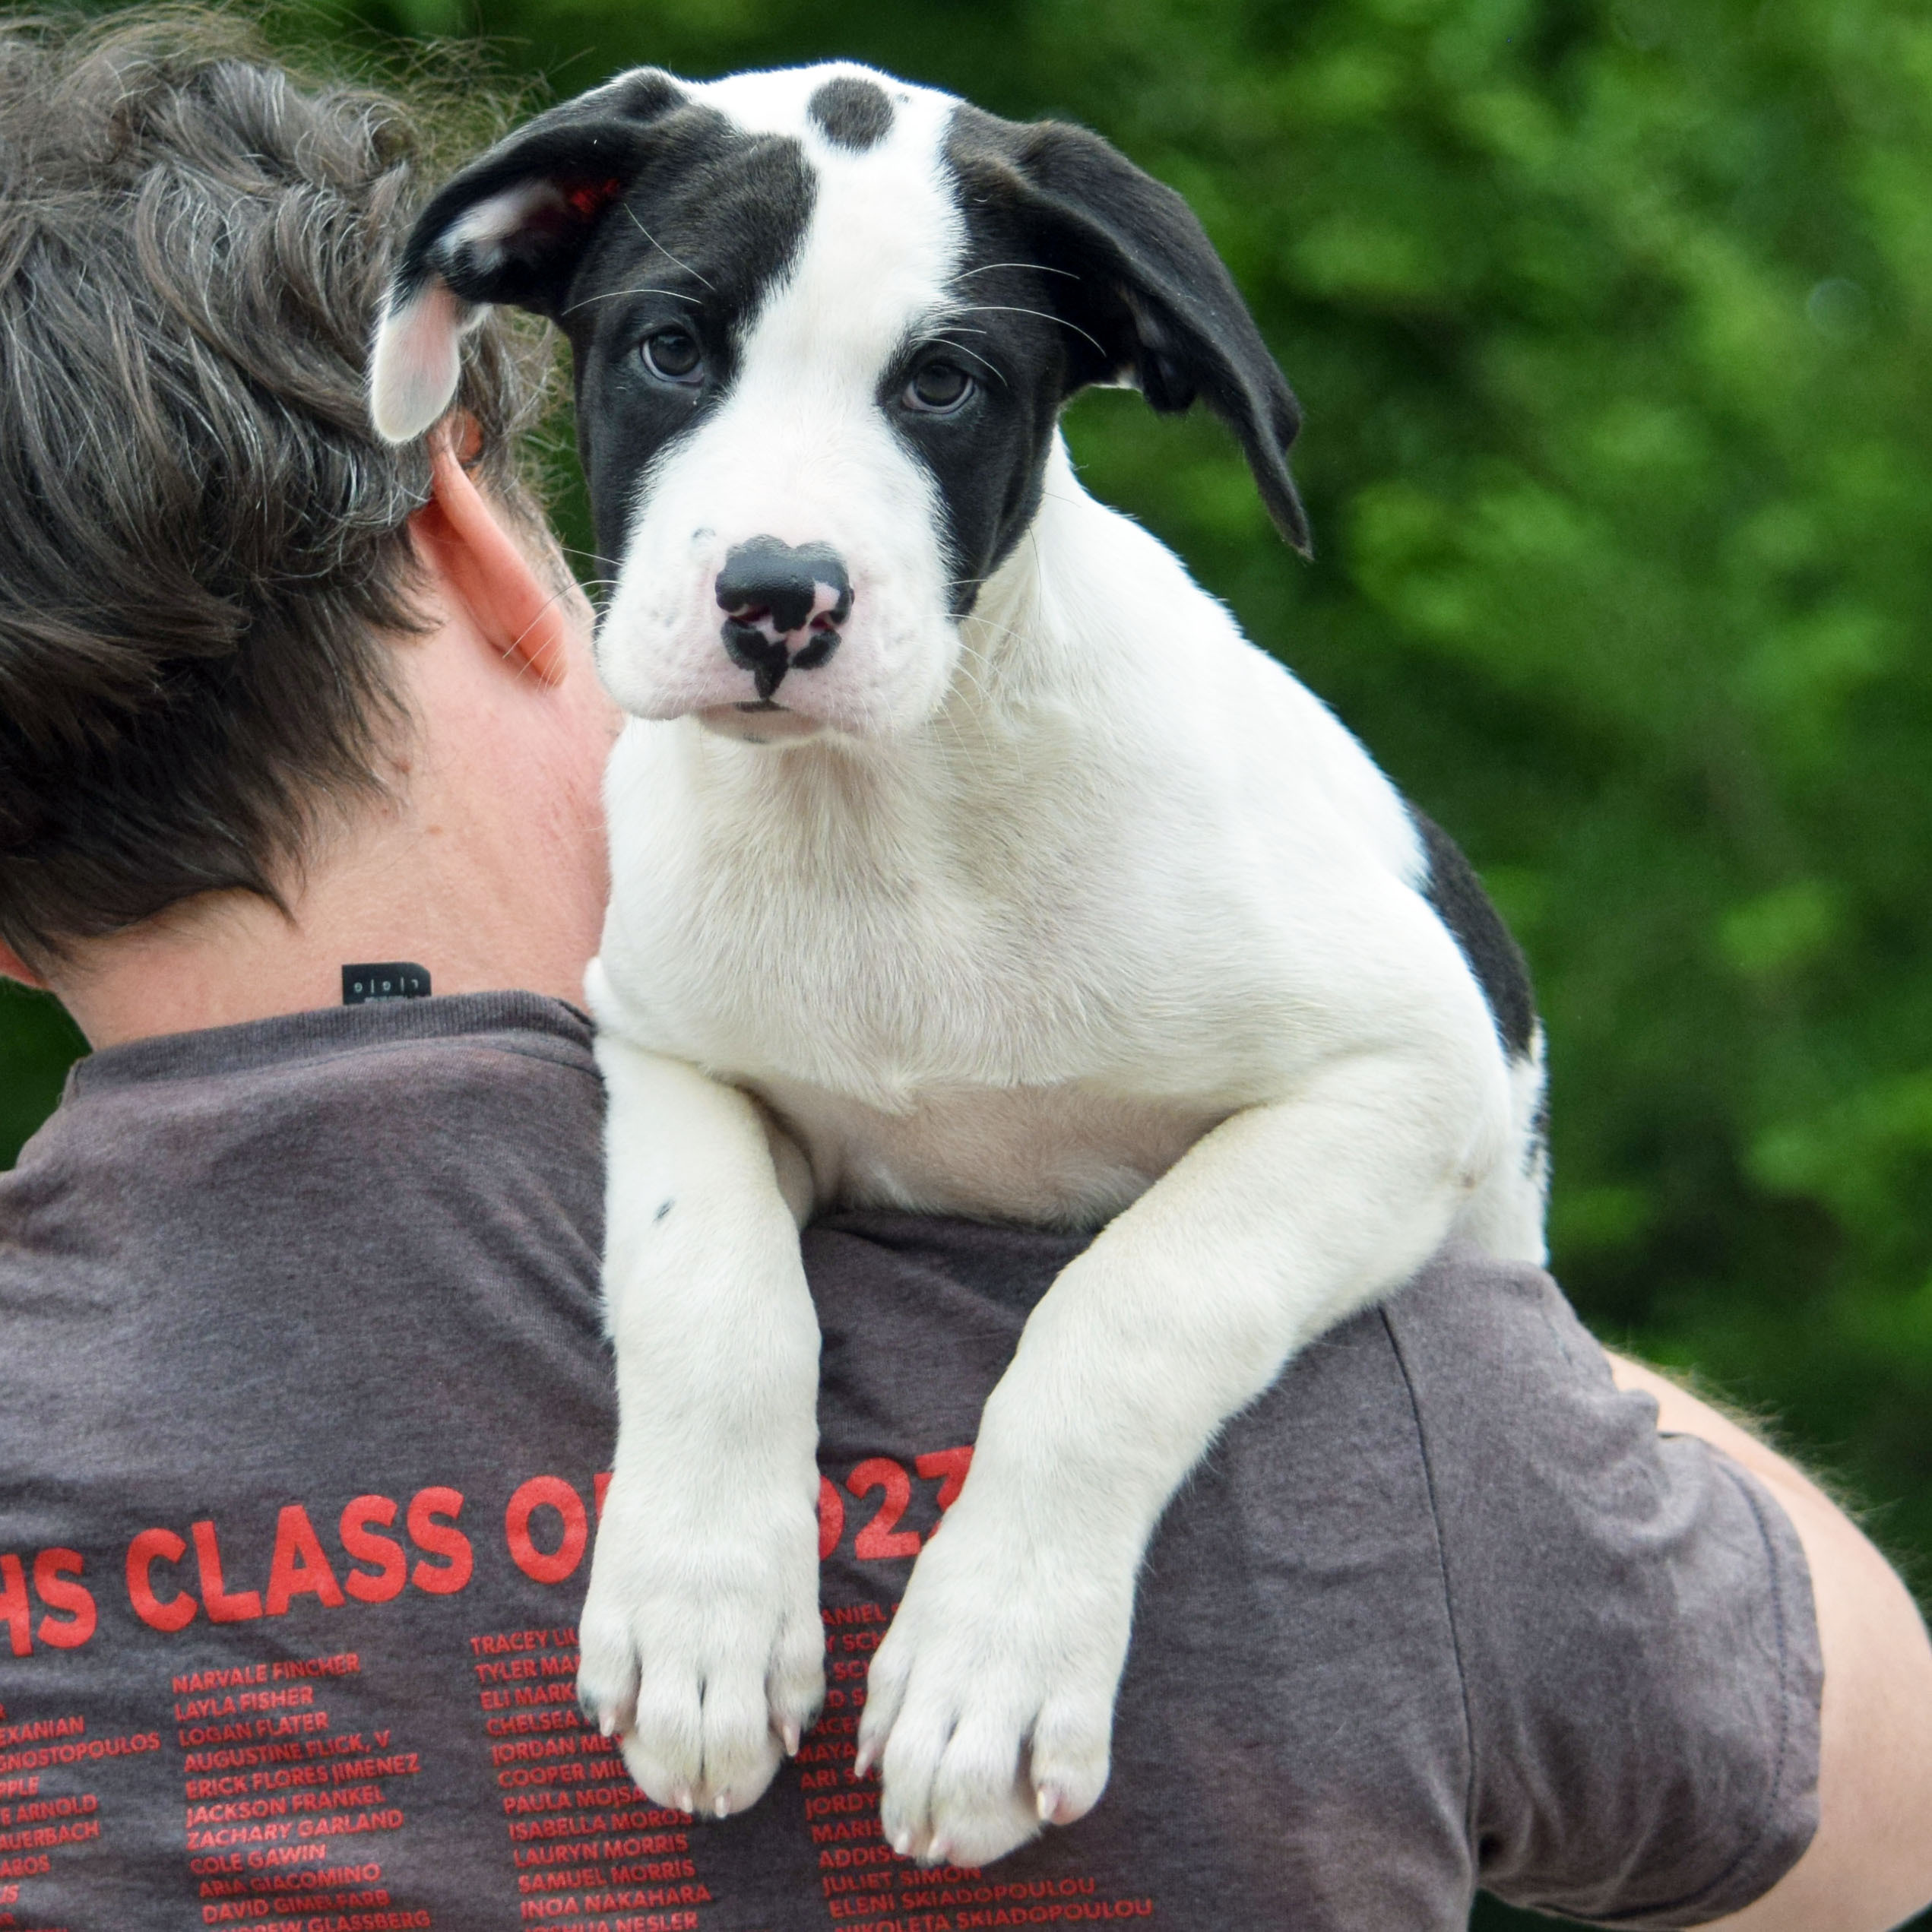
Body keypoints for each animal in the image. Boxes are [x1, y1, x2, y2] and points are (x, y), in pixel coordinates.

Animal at [369, 60, 1545, 1870]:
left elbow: (1126, 1305)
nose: (777, 600)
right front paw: (701, 1609)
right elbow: (712, 1290)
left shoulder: (1406, 1075)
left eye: (944, 382)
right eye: (671, 348)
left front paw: (989, 1665)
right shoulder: (669, 1045)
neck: (885, 833)